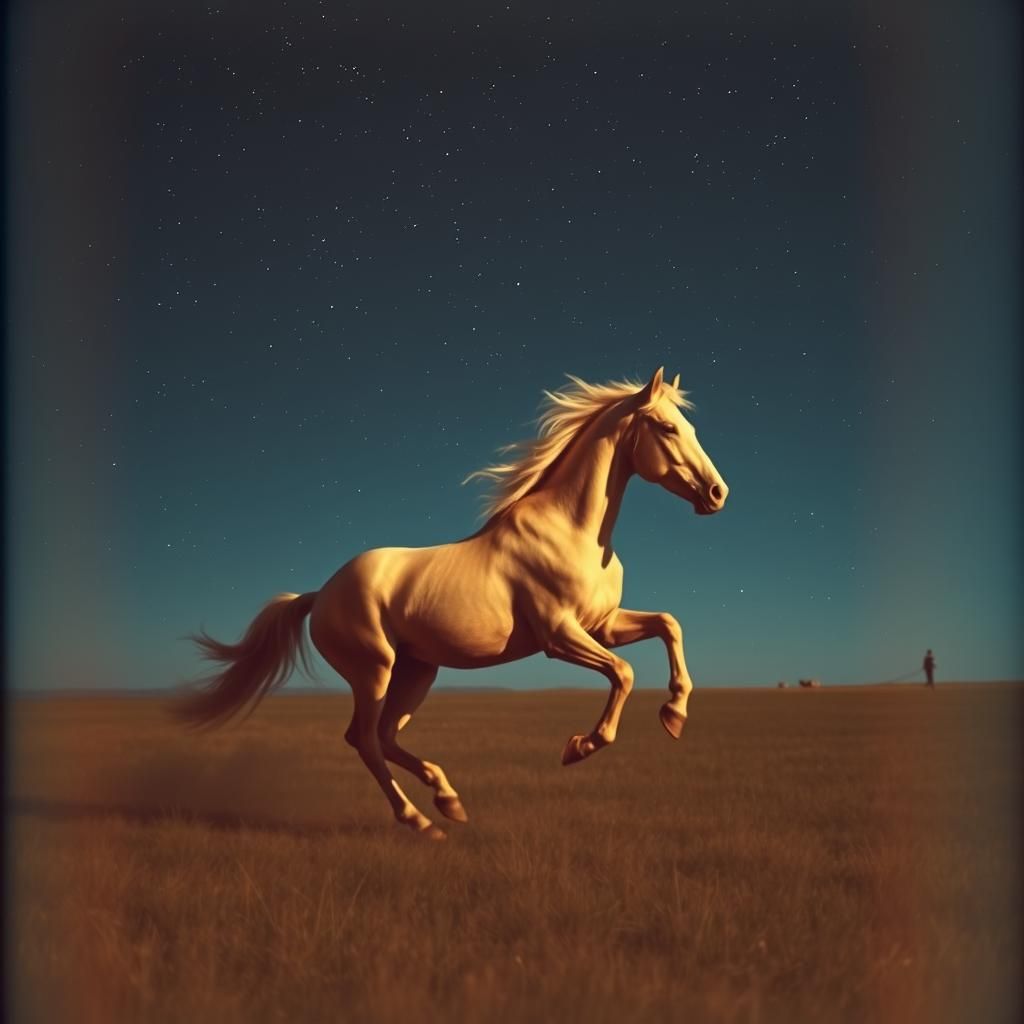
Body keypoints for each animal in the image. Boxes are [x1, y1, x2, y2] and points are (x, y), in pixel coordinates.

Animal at [175, 367, 729, 838]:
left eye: (690, 426)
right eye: (666, 427)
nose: (717, 494)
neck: (573, 531)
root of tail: (320, 594)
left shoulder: (603, 624)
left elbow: (668, 624)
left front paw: (674, 714)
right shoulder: (560, 636)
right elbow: (624, 673)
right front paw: (581, 747)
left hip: (417, 671)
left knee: (386, 736)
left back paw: (449, 800)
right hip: (374, 670)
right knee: (365, 739)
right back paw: (420, 821)